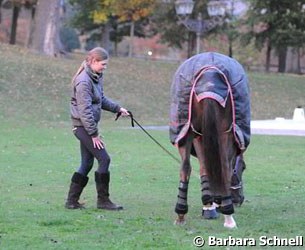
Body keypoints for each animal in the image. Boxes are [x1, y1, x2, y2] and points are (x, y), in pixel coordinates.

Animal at [169, 52, 249, 229]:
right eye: (243, 168)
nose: (240, 199)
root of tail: (210, 73)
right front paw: (215, 205)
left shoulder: (199, 136)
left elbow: (205, 168)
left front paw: (208, 206)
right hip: (225, 134)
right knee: (224, 168)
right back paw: (229, 217)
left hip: (185, 131)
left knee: (185, 168)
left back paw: (180, 214)